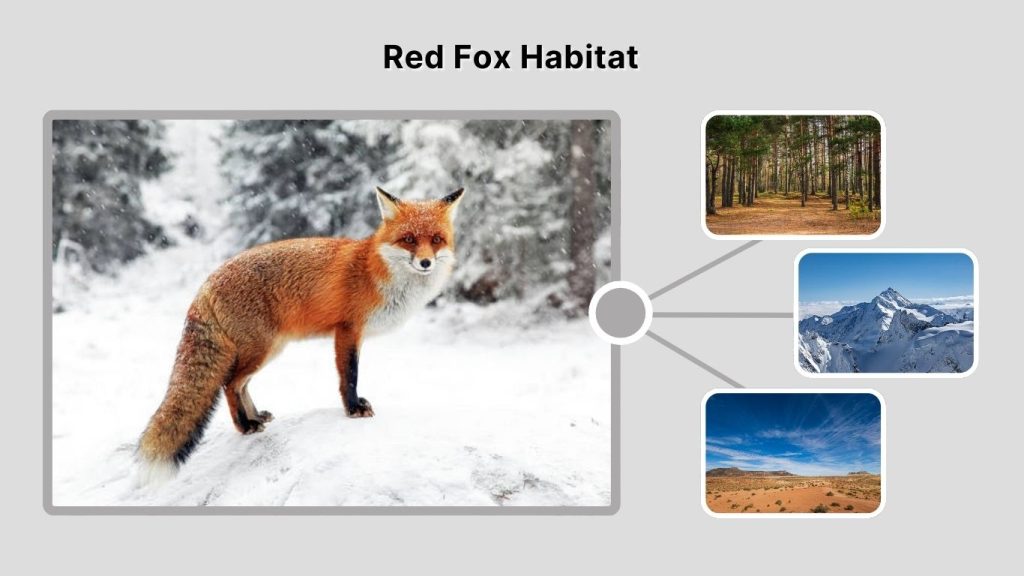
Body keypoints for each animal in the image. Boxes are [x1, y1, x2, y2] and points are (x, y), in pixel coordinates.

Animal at [136, 186, 465, 484]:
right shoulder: (348, 330)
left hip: (268, 350)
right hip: (261, 350)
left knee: (241, 385)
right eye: (409, 239)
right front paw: (353, 409)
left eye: (436, 240)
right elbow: (349, 376)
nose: (425, 263)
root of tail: (207, 282)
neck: (377, 272)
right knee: (230, 384)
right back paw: (245, 426)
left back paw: (256, 417)